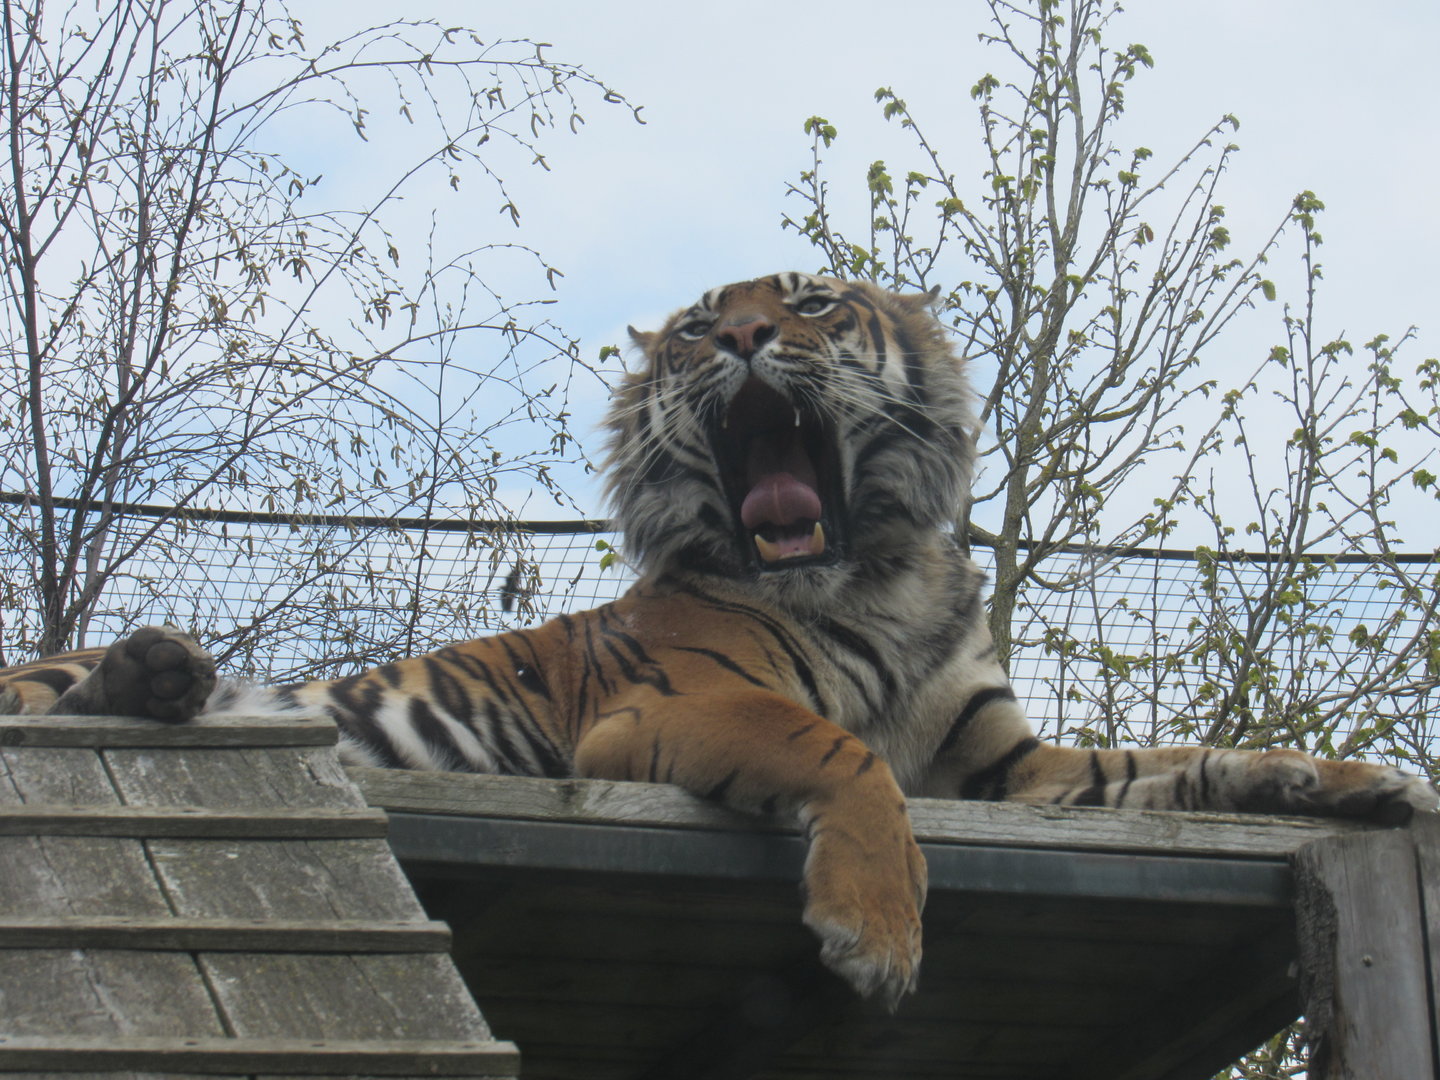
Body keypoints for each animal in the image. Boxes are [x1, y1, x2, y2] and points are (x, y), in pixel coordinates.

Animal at [1, 271, 1433, 1009]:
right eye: (697, 328)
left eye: (812, 303)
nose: (741, 338)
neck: (874, 573)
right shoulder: (667, 709)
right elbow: (842, 755)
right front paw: (878, 938)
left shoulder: (1008, 772)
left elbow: (1174, 762)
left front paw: (1343, 782)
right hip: (46, 679)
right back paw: (160, 673)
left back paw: (174, 678)